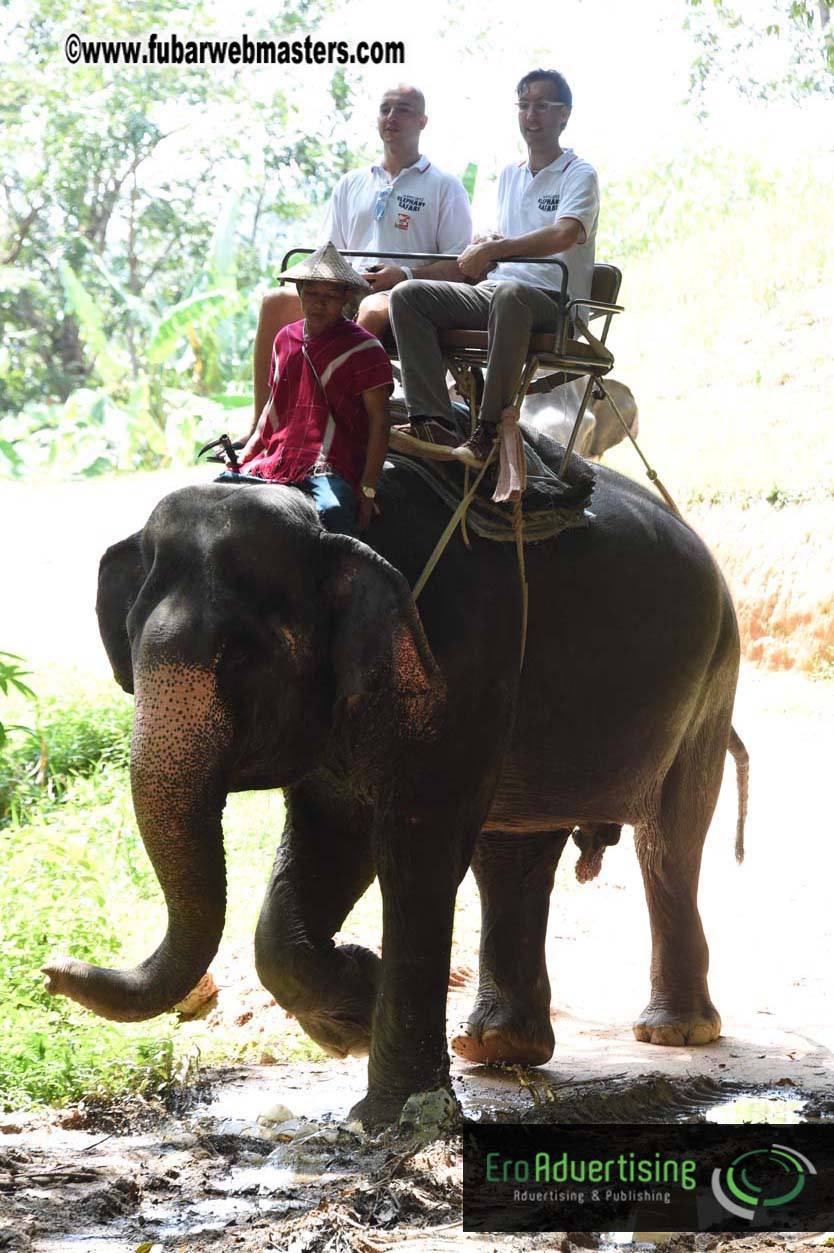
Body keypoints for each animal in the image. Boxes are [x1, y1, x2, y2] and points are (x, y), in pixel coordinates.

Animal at [43, 433, 748, 1128]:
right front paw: (354, 1010)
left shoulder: (463, 654)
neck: (327, 517)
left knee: (669, 843)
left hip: (716, 676)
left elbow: (416, 846)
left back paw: (673, 1033)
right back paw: (498, 1047)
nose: (49, 970)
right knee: (513, 852)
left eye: (240, 656)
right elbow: (331, 837)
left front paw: (389, 1111)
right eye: (130, 642)